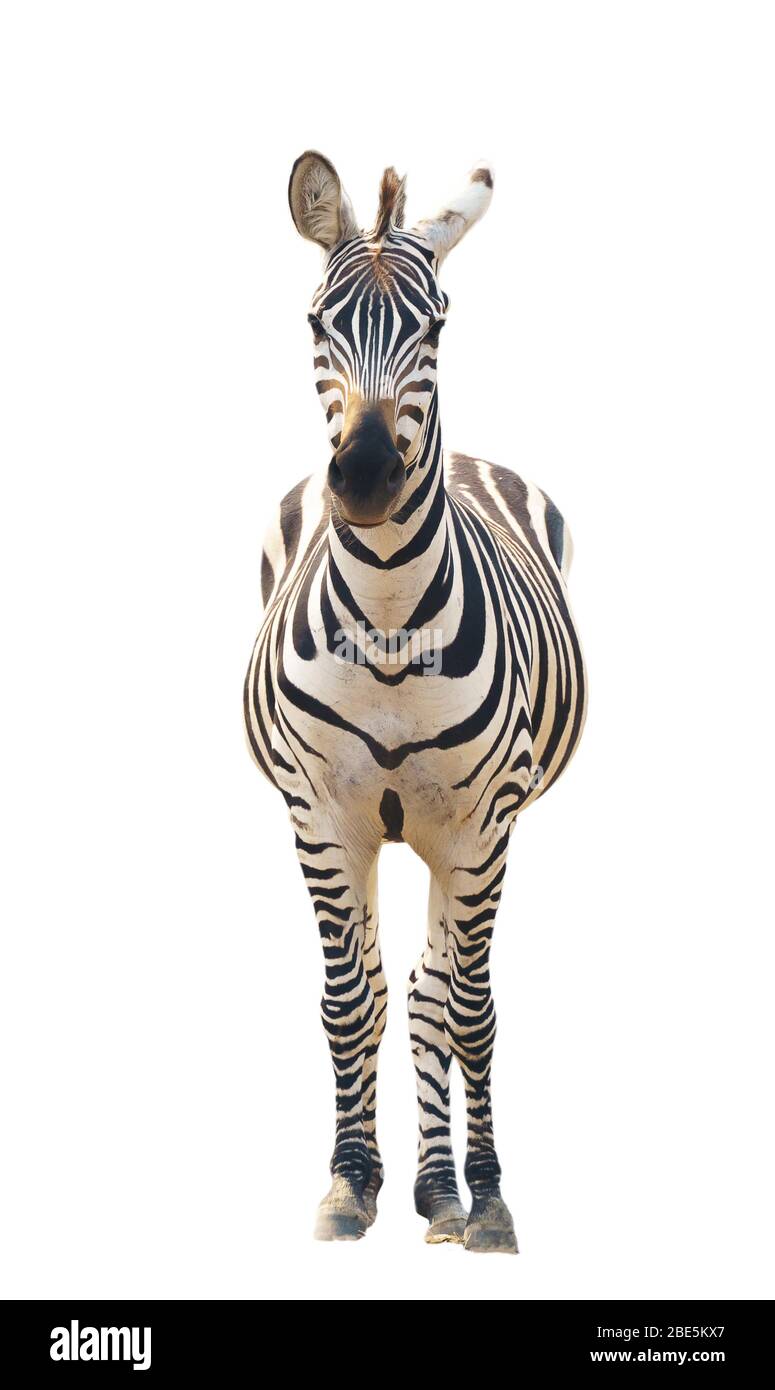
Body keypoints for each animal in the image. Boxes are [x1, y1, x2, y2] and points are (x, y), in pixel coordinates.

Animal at [244, 152, 586, 1253]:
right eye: (317, 321)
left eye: (434, 327)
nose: (363, 477)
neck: (393, 620)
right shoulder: (320, 817)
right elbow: (351, 1003)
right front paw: (350, 1186)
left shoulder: (480, 824)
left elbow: (467, 1011)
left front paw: (485, 1201)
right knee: (400, 991)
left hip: (464, 836)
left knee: (440, 996)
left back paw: (444, 1191)